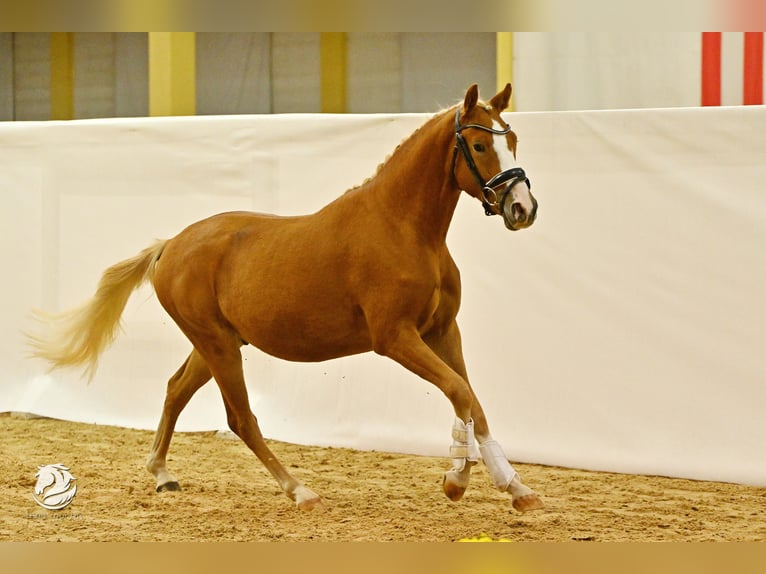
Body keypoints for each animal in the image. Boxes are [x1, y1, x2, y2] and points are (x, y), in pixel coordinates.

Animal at [30, 84, 544, 512]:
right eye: (479, 145)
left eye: (513, 140)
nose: (523, 208)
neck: (404, 229)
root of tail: (171, 245)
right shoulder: (396, 338)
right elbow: (458, 392)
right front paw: (456, 480)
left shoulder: (441, 330)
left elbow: (473, 399)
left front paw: (516, 488)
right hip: (217, 345)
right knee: (240, 418)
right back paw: (299, 490)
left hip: (215, 343)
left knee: (176, 390)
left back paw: (162, 475)